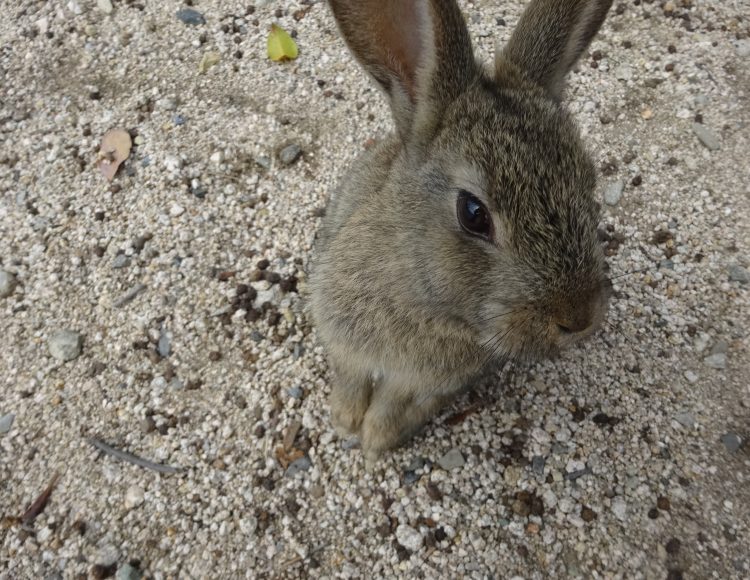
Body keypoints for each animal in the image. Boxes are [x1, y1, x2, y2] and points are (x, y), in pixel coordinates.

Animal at [308, 0, 612, 464]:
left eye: (589, 182)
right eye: (473, 214)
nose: (579, 319)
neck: (428, 305)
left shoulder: (424, 380)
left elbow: (396, 402)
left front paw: (377, 437)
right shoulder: (343, 341)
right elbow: (349, 377)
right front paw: (345, 420)